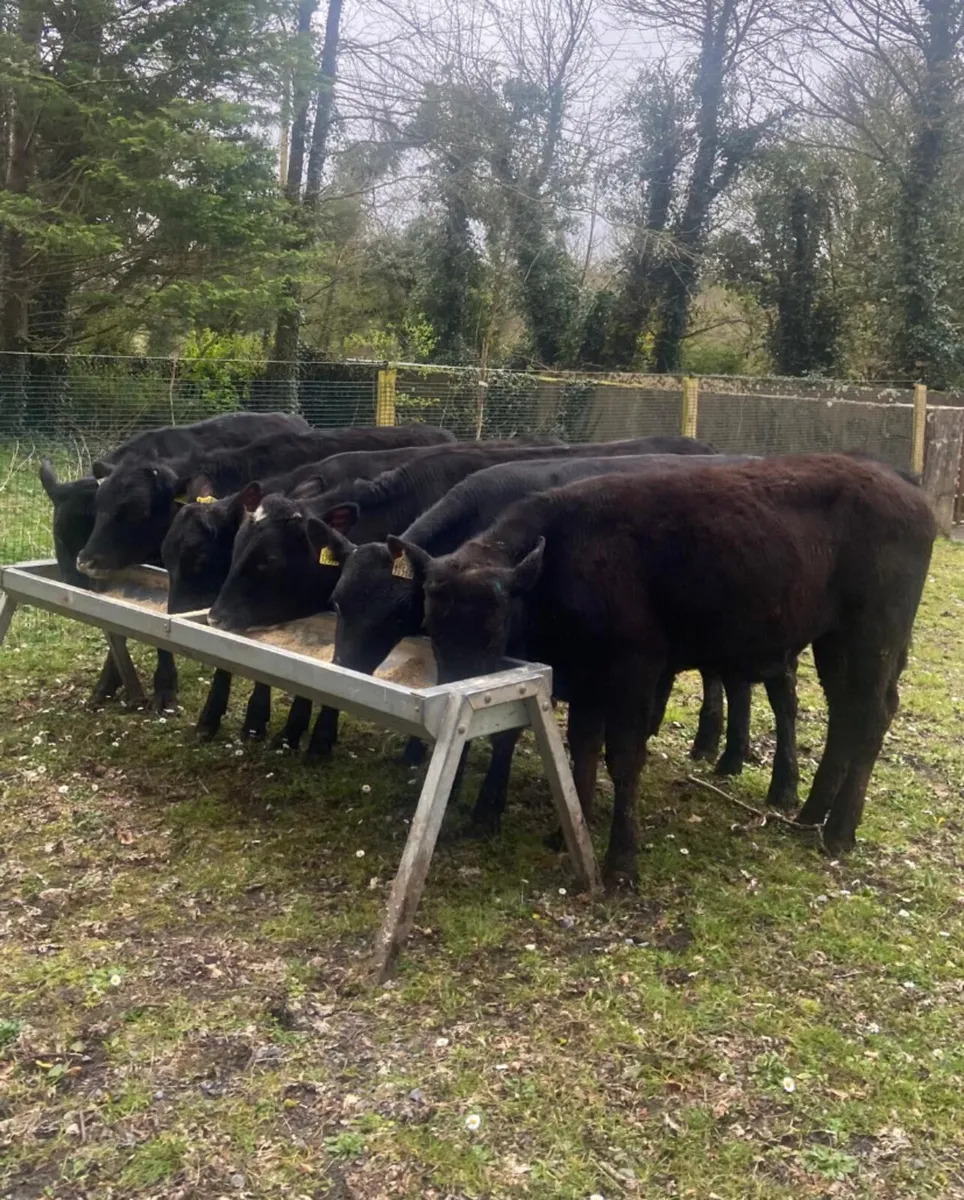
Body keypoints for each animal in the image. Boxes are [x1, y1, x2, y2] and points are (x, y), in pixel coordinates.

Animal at [393, 455, 935, 884]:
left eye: (492, 633)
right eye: (431, 626)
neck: (566, 556)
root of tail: (908, 489)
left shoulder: (634, 673)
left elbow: (623, 759)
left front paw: (621, 864)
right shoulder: (587, 679)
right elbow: (582, 751)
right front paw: (569, 830)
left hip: (873, 638)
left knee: (871, 716)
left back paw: (839, 831)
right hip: (833, 643)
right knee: (845, 715)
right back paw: (809, 813)